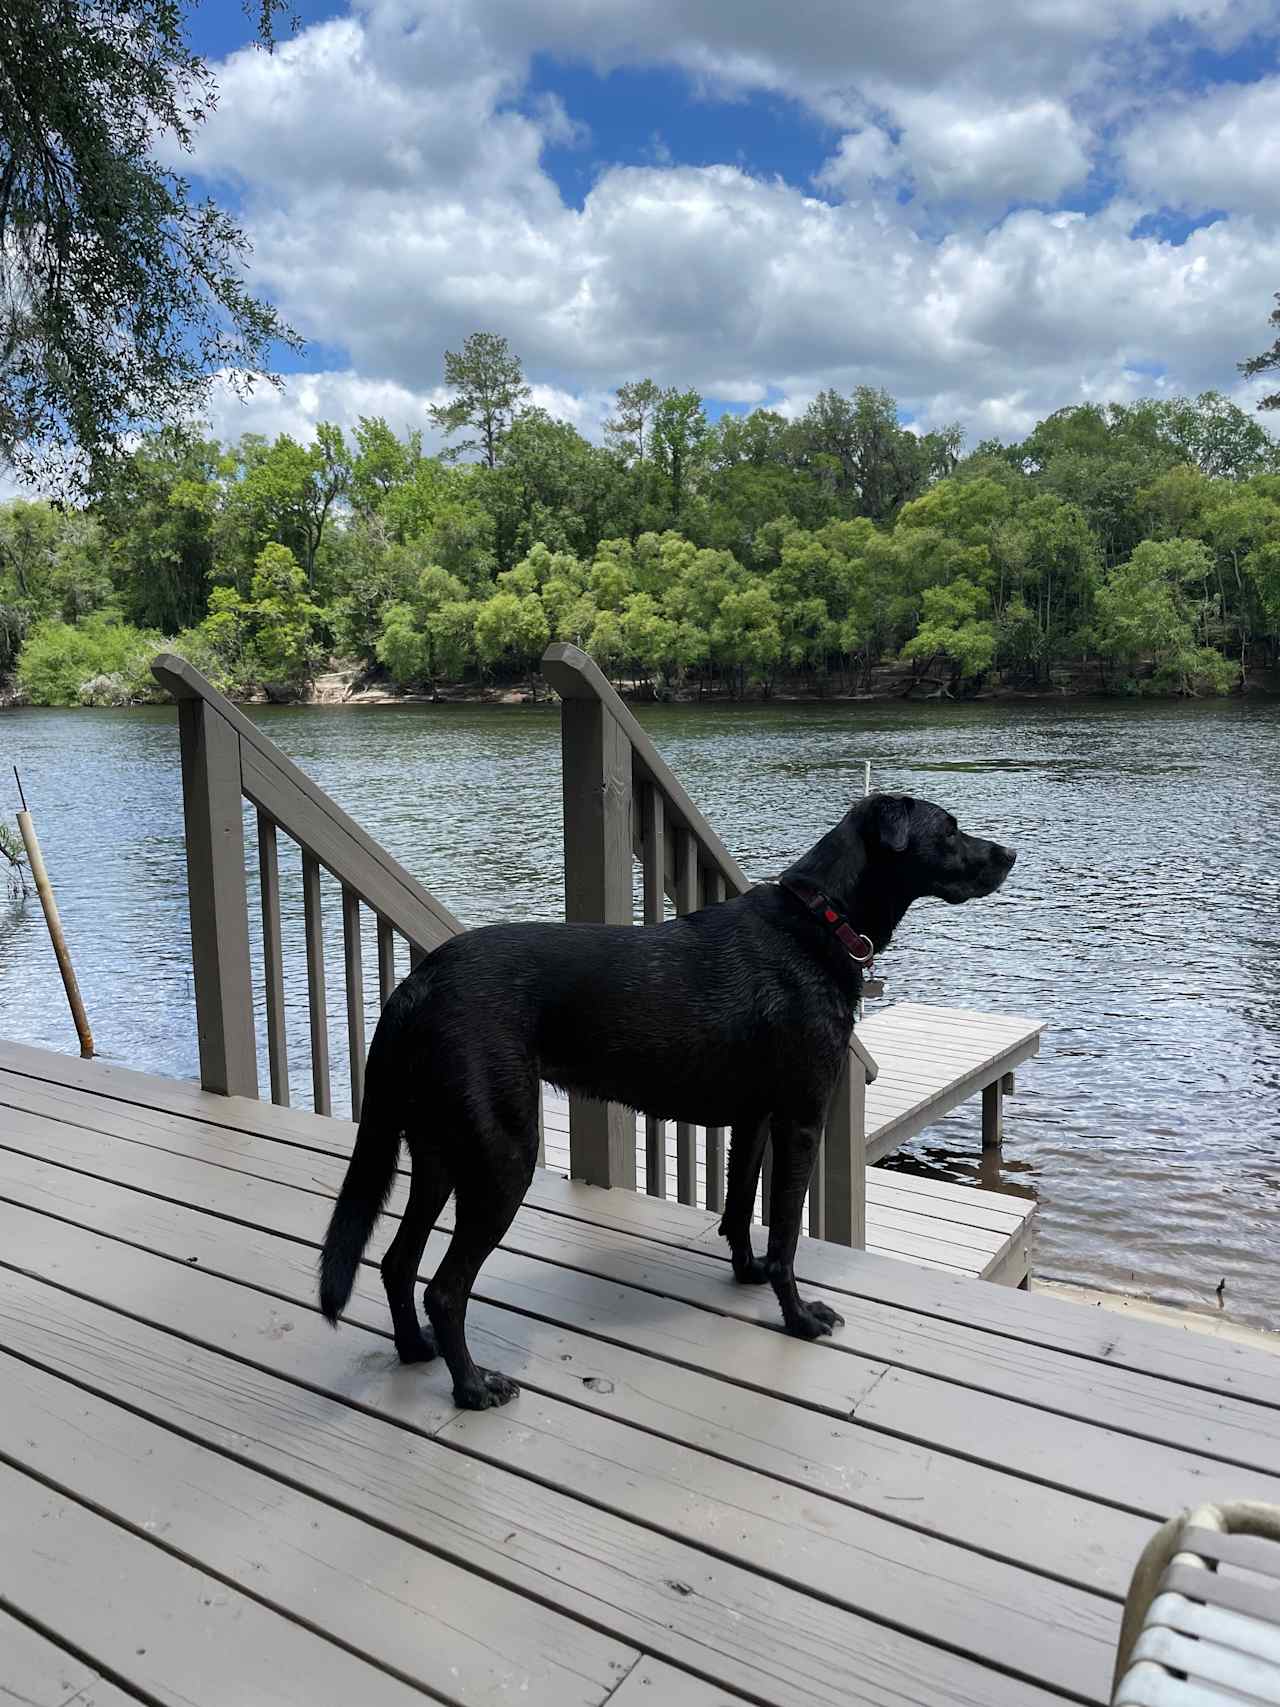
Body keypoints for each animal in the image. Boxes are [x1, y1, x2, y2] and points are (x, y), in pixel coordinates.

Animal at [315, 792, 1017, 1406]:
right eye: (949, 829)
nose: (1009, 853)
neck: (821, 921)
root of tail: (415, 987)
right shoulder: (801, 1118)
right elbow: (787, 1233)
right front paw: (797, 1316)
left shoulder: (755, 1117)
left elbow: (739, 1209)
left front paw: (746, 1274)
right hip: (500, 1158)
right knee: (444, 1289)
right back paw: (472, 1388)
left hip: (439, 1152)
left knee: (396, 1264)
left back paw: (415, 1350)